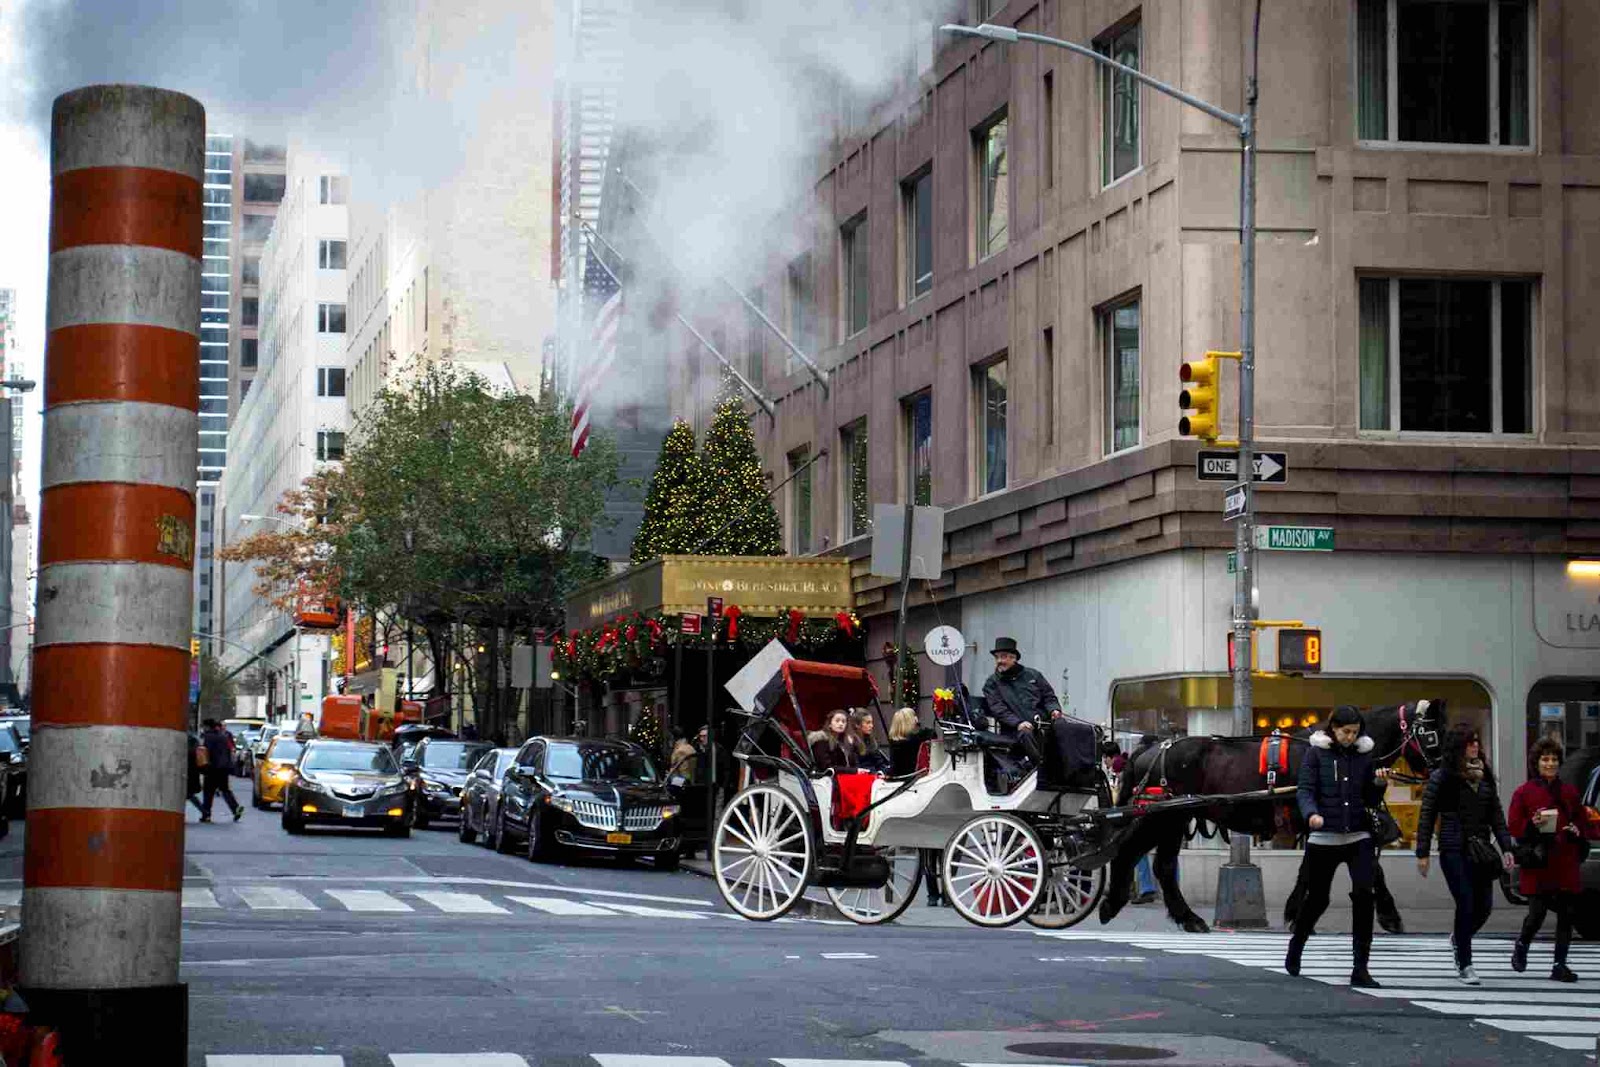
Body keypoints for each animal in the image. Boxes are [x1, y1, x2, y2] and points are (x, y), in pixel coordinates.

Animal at [1100, 697, 1452, 927]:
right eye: (1433, 734)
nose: (1443, 770)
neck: (1340, 752)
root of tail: (1151, 749)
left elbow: (1319, 866)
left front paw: (1296, 909)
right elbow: (1348, 867)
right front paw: (1389, 915)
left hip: (1170, 818)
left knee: (1155, 862)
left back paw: (1173, 914)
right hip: (1166, 816)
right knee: (1138, 854)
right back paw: (1124, 904)